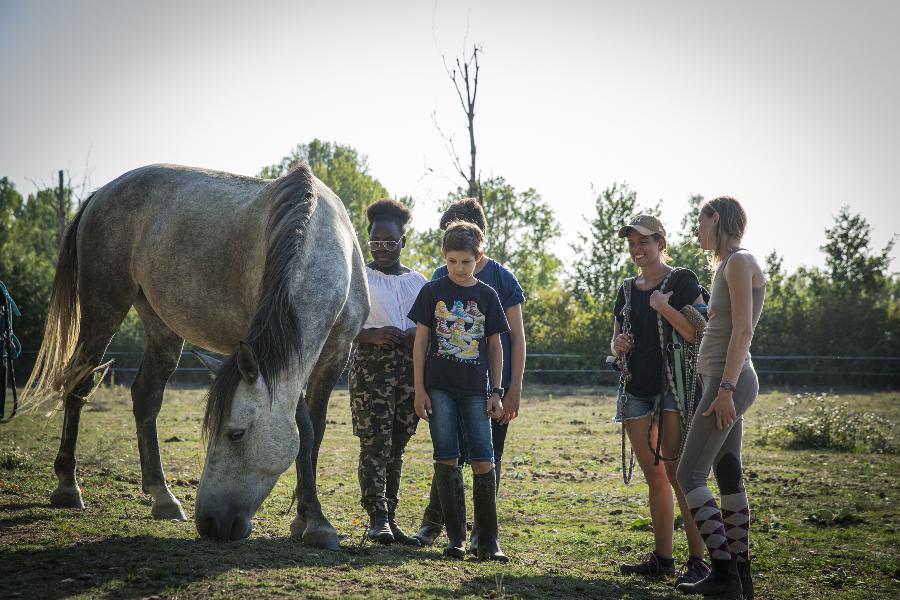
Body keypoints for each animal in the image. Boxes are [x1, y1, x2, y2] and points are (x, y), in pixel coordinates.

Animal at [23, 162, 370, 548]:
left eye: (235, 434)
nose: (210, 523)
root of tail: (101, 193)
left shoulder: (336, 352)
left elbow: (315, 432)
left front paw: (307, 520)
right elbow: (304, 431)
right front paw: (315, 522)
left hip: (160, 324)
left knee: (146, 395)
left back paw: (163, 497)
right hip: (103, 307)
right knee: (79, 384)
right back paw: (68, 487)